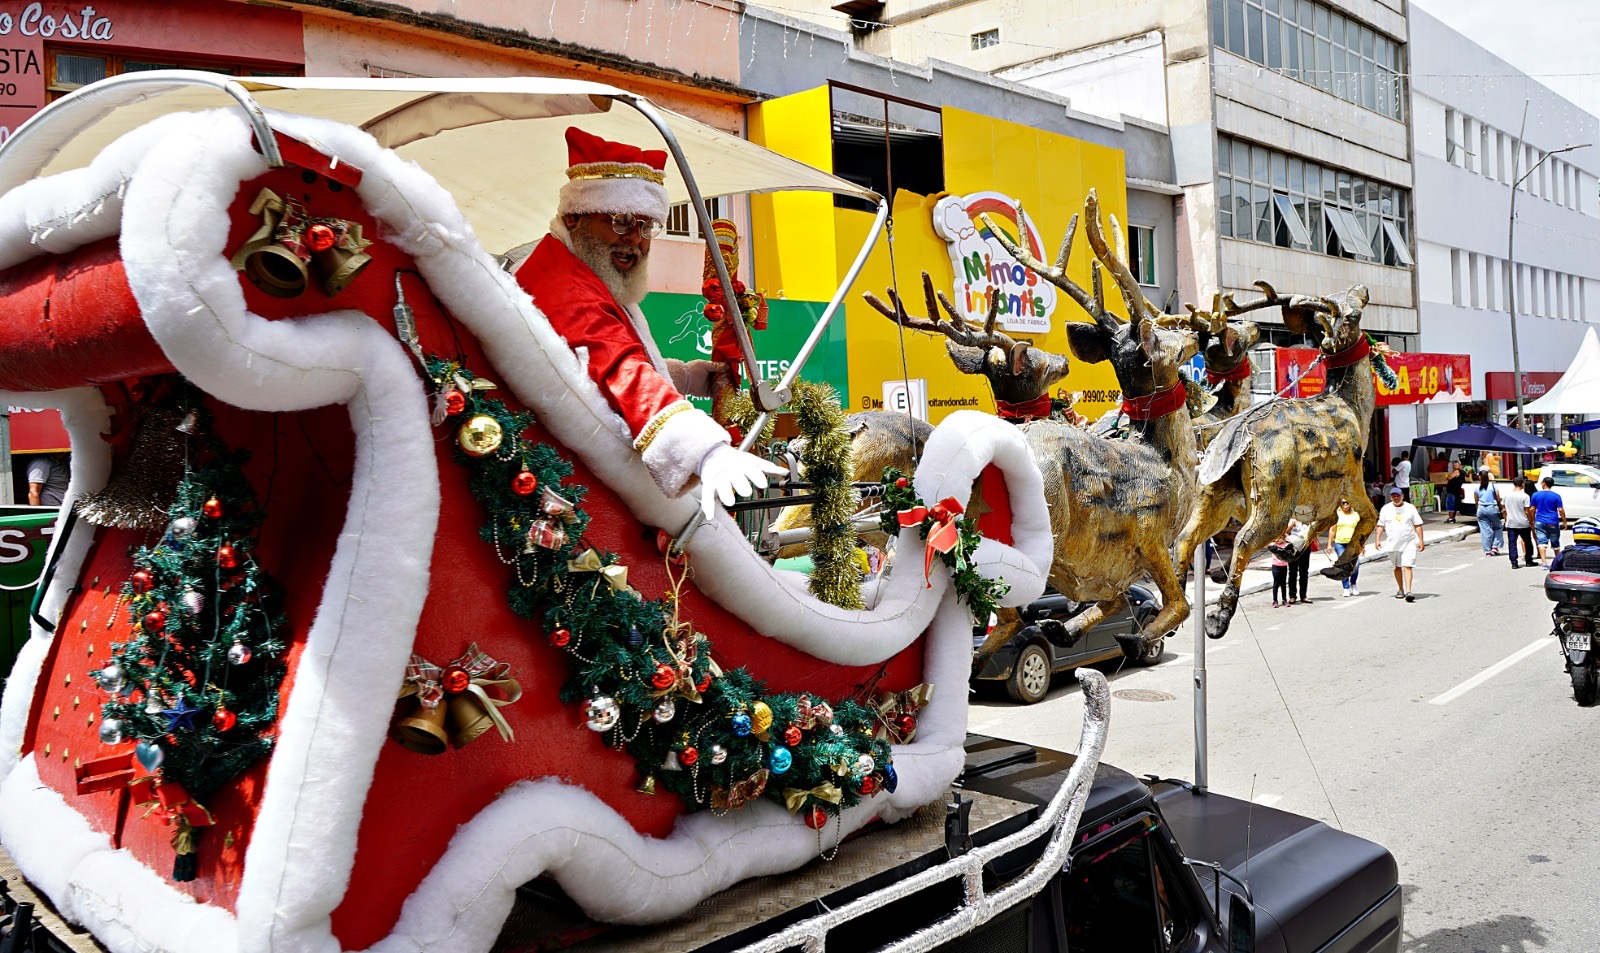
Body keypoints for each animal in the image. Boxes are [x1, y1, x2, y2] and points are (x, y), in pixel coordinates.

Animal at [1172, 283, 1382, 641]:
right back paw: (1218, 616)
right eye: (1353, 314)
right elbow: (1370, 515)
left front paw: (1292, 551)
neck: (1354, 407)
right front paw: (1340, 566)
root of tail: (1237, 435)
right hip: (1275, 485)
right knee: (1244, 537)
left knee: (1187, 537)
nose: (1362, 288)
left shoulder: (1319, 496)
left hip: (1215, 488)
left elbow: (1322, 522)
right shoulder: (1352, 477)